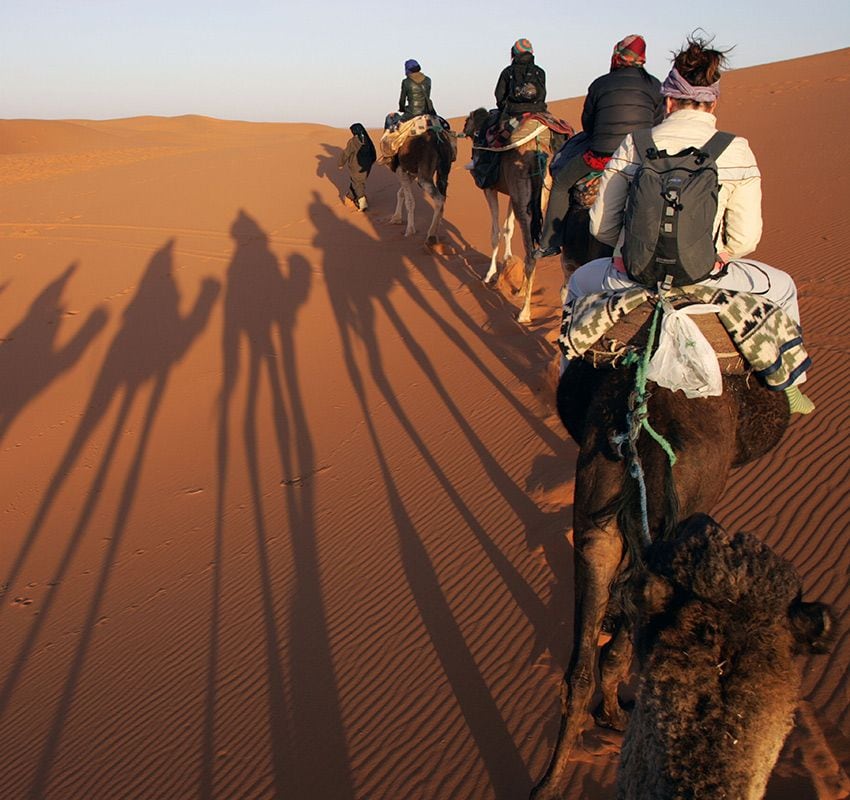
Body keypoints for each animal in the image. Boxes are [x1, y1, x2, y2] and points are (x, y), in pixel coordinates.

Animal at [460, 108, 568, 324]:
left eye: (467, 121)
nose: (462, 129)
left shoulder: (490, 188)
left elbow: (495, 232)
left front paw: (489, 274)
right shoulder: (511, 193)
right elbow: (508, 228)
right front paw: (508, 259)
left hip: (524, 198)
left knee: (531, 254)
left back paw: (524, 313)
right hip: (545, 196)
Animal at [528, 358, 792, 800]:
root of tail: (644, 433)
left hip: (595, 520)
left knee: (580, 669)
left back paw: (548, 784)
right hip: (665, 521)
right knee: (619, 650)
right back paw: (615, 717)